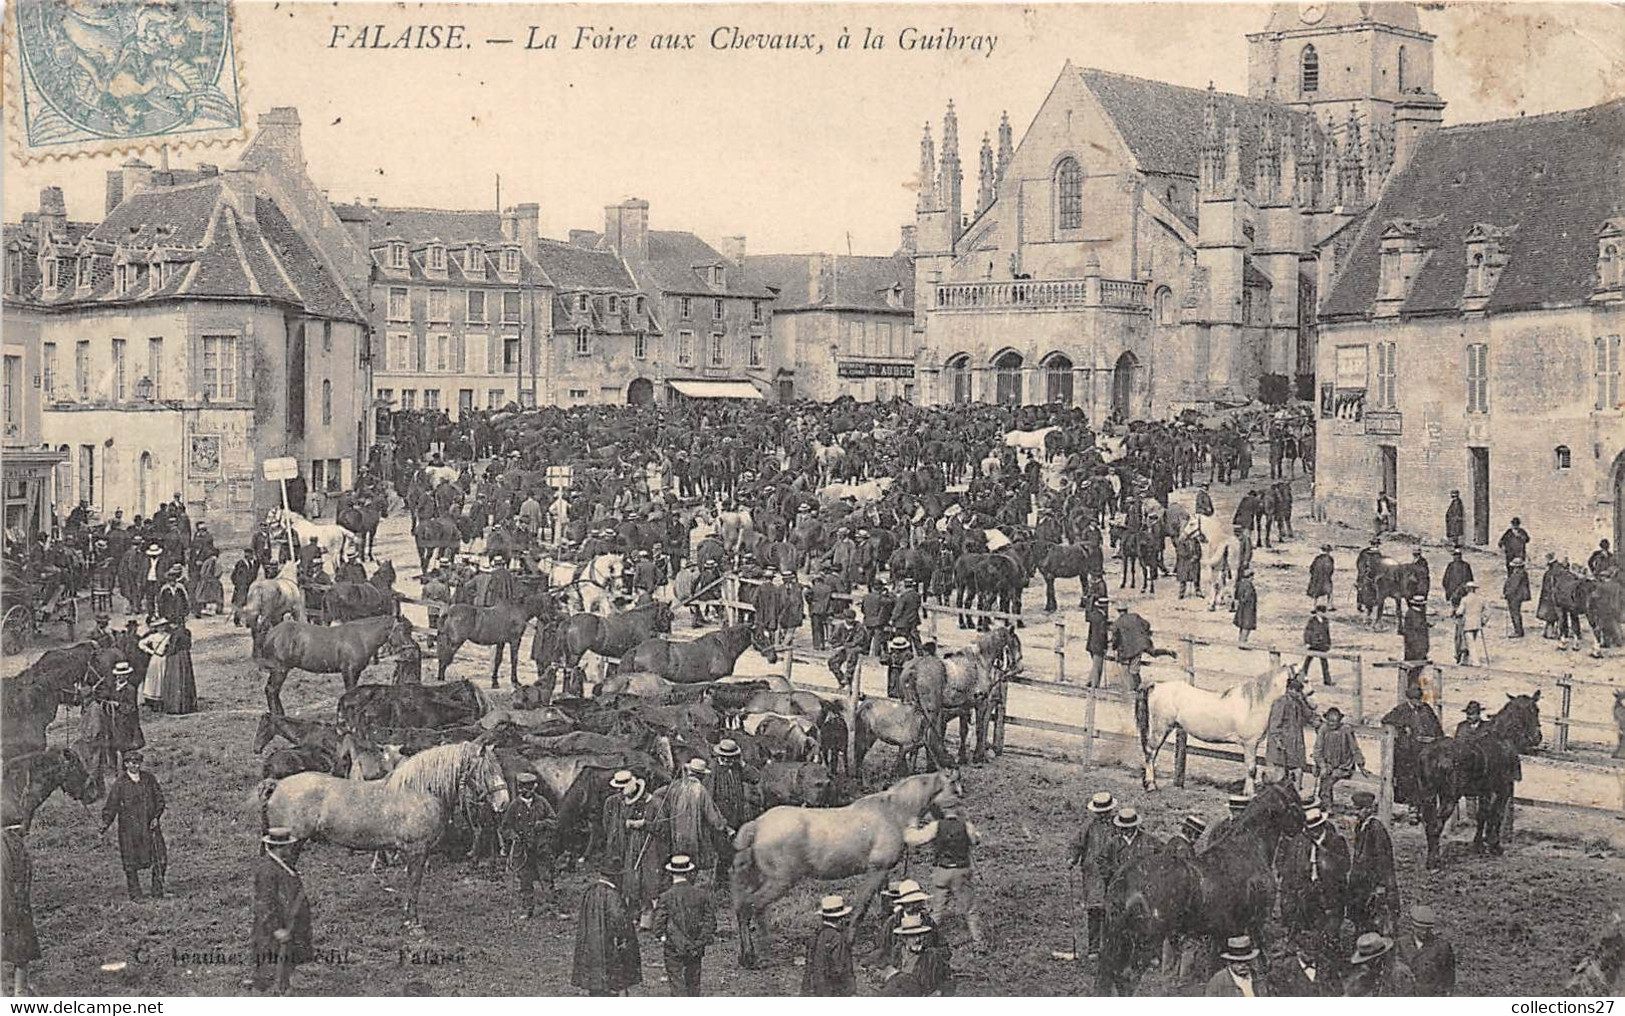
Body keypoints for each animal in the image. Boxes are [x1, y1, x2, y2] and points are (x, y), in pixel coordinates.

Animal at [260, 611, 412, 712]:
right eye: (403, 630)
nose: (410, 649)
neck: (361, 637)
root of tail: (271, 634)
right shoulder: (348, 671)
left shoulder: (356, 672)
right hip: (280, 670)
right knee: (272, 690)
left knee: (272, 690)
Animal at [1098, 780, 1300, 994]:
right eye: (1295, 799)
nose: (1304, 827)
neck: (1247, 848)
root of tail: (1126, 880)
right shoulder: (1257, 922)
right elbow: (1262, 961)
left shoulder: (1225, 930)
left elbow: (1216, 965)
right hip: (1143, 943)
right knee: (1127, 977)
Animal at [1150, 663, 1300, 796]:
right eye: (1301, 680)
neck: (1254, 704)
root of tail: (1158, 686)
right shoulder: (1249, 743)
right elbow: (1251, 768)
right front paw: (1249, 794)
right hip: (1161, 729)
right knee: (1150, 753)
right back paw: (1151, 786)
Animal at [1417, 692, 1540, 864]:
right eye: (1535, 710)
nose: (1538, 737)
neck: (1501, 739)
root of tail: (1434, 755)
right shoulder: (1503, 788)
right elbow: (1496, 815)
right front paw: (1495, 846)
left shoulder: (1484, 792)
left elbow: (1482, 815)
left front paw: (1479, 845)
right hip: (1449, 798)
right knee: (1436, 825)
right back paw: (1434, 861)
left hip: (1428, 796)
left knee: (1428, 823)